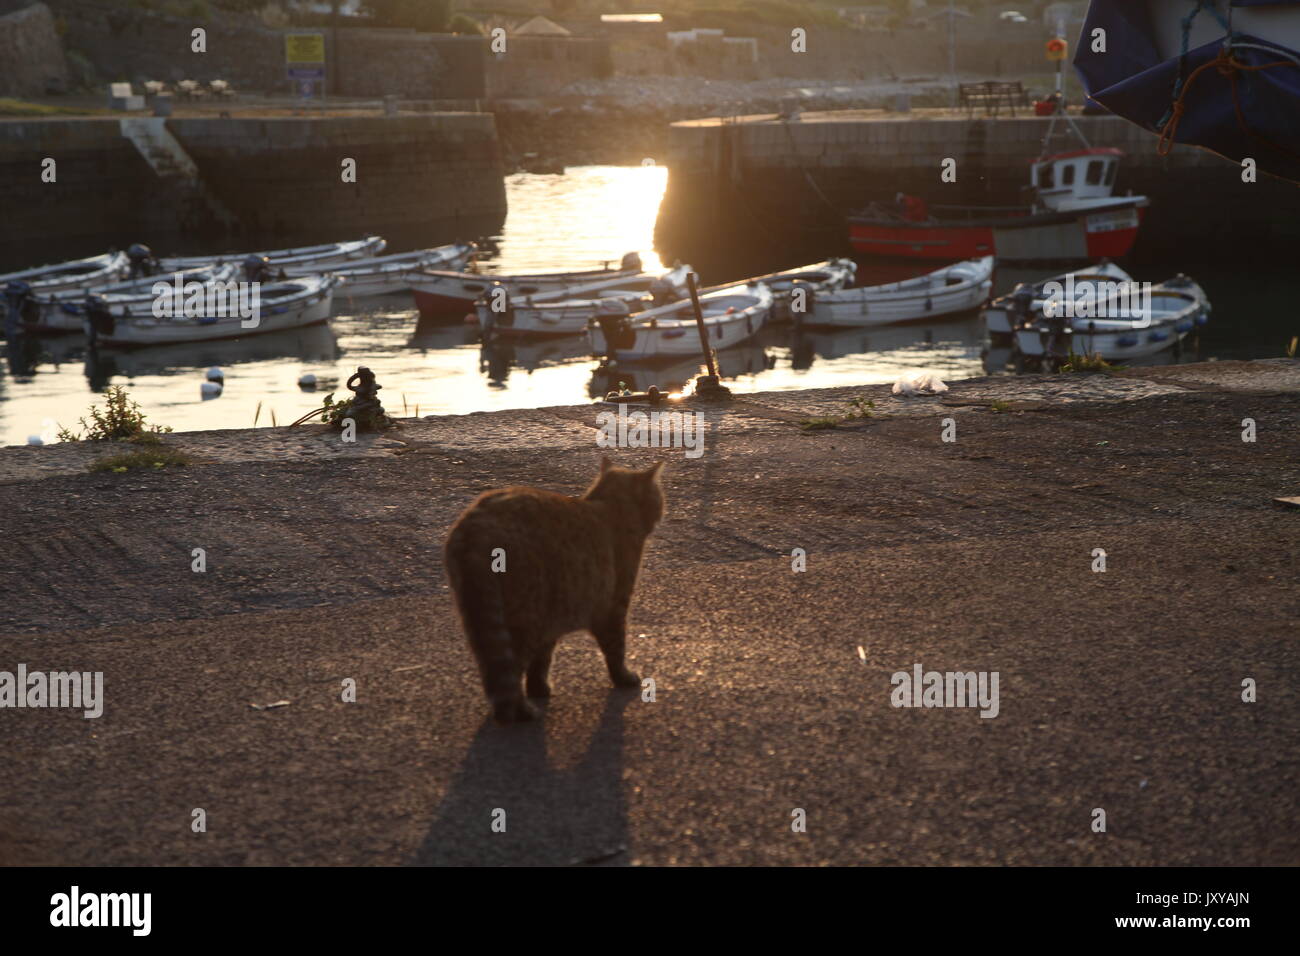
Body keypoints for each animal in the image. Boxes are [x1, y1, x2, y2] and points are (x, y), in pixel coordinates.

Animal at [447, 457, 670, 723]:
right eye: (658, 497)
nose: (663, 512)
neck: (610, 506)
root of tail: (477, 527)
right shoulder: (612, 608)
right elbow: (616, 649)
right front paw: (623, 677)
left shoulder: (552, 618)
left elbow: (542, 661)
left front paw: (539, 688)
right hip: (525, 616)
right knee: (509, 669)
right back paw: (520, 712)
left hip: (479, 614)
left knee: (493, 668)